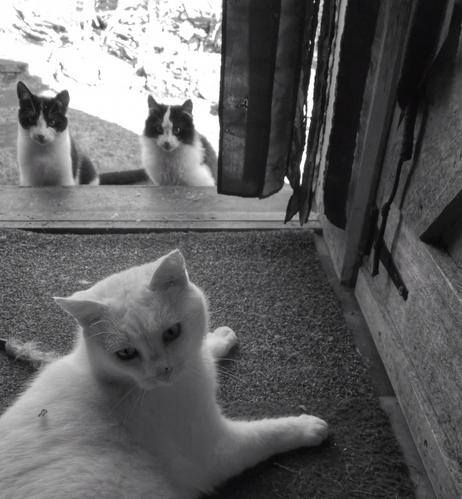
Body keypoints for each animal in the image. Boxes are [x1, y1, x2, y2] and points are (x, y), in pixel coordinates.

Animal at [0, 250, 328, 499]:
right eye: (126, 354)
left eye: (172, 333)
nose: (163, 371)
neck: (122, 385)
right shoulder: (216, 449)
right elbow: (269, 433)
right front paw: (309, 427)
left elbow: (204, 349)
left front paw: (219, 338)